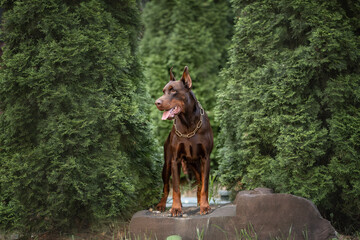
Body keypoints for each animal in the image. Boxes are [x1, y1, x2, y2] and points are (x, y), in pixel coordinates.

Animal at [154, 66, 212, 217]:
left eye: (173, 90)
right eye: (163, 91)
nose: (157, 103)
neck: (188, 123)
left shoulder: (205, 158)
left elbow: (205, 185)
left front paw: (205, 206)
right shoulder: (175, 159)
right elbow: (175, 187)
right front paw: (176, 208)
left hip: (196, 164)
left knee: (200, 182)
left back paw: (199, 202)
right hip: (167, 164)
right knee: (166, 186)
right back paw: (162, 205)